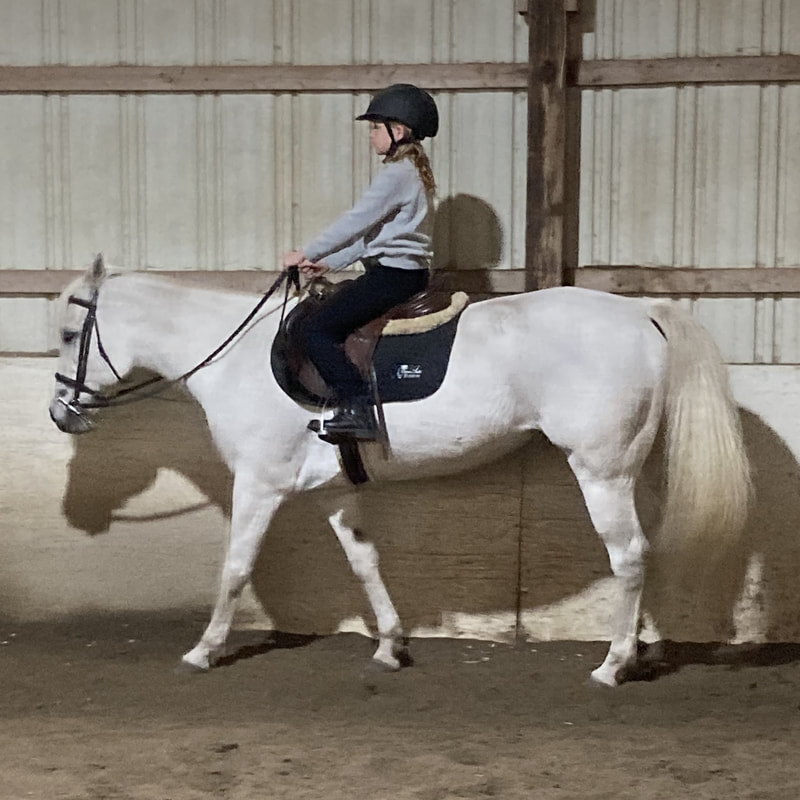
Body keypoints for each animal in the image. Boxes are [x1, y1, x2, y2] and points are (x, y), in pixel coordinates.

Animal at [48, 258, 752, 688]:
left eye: (67, 335)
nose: (60, 414)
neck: (238, 360)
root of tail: (640, 313)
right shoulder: (334, 492)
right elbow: (365, 562)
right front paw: (389, 646)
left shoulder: (259, 485)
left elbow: (235, 568)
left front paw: (202, 650)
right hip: (634, 471)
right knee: (649, 549)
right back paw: (642, 649)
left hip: (600, 471)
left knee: (628, 556)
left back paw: (612, 665)